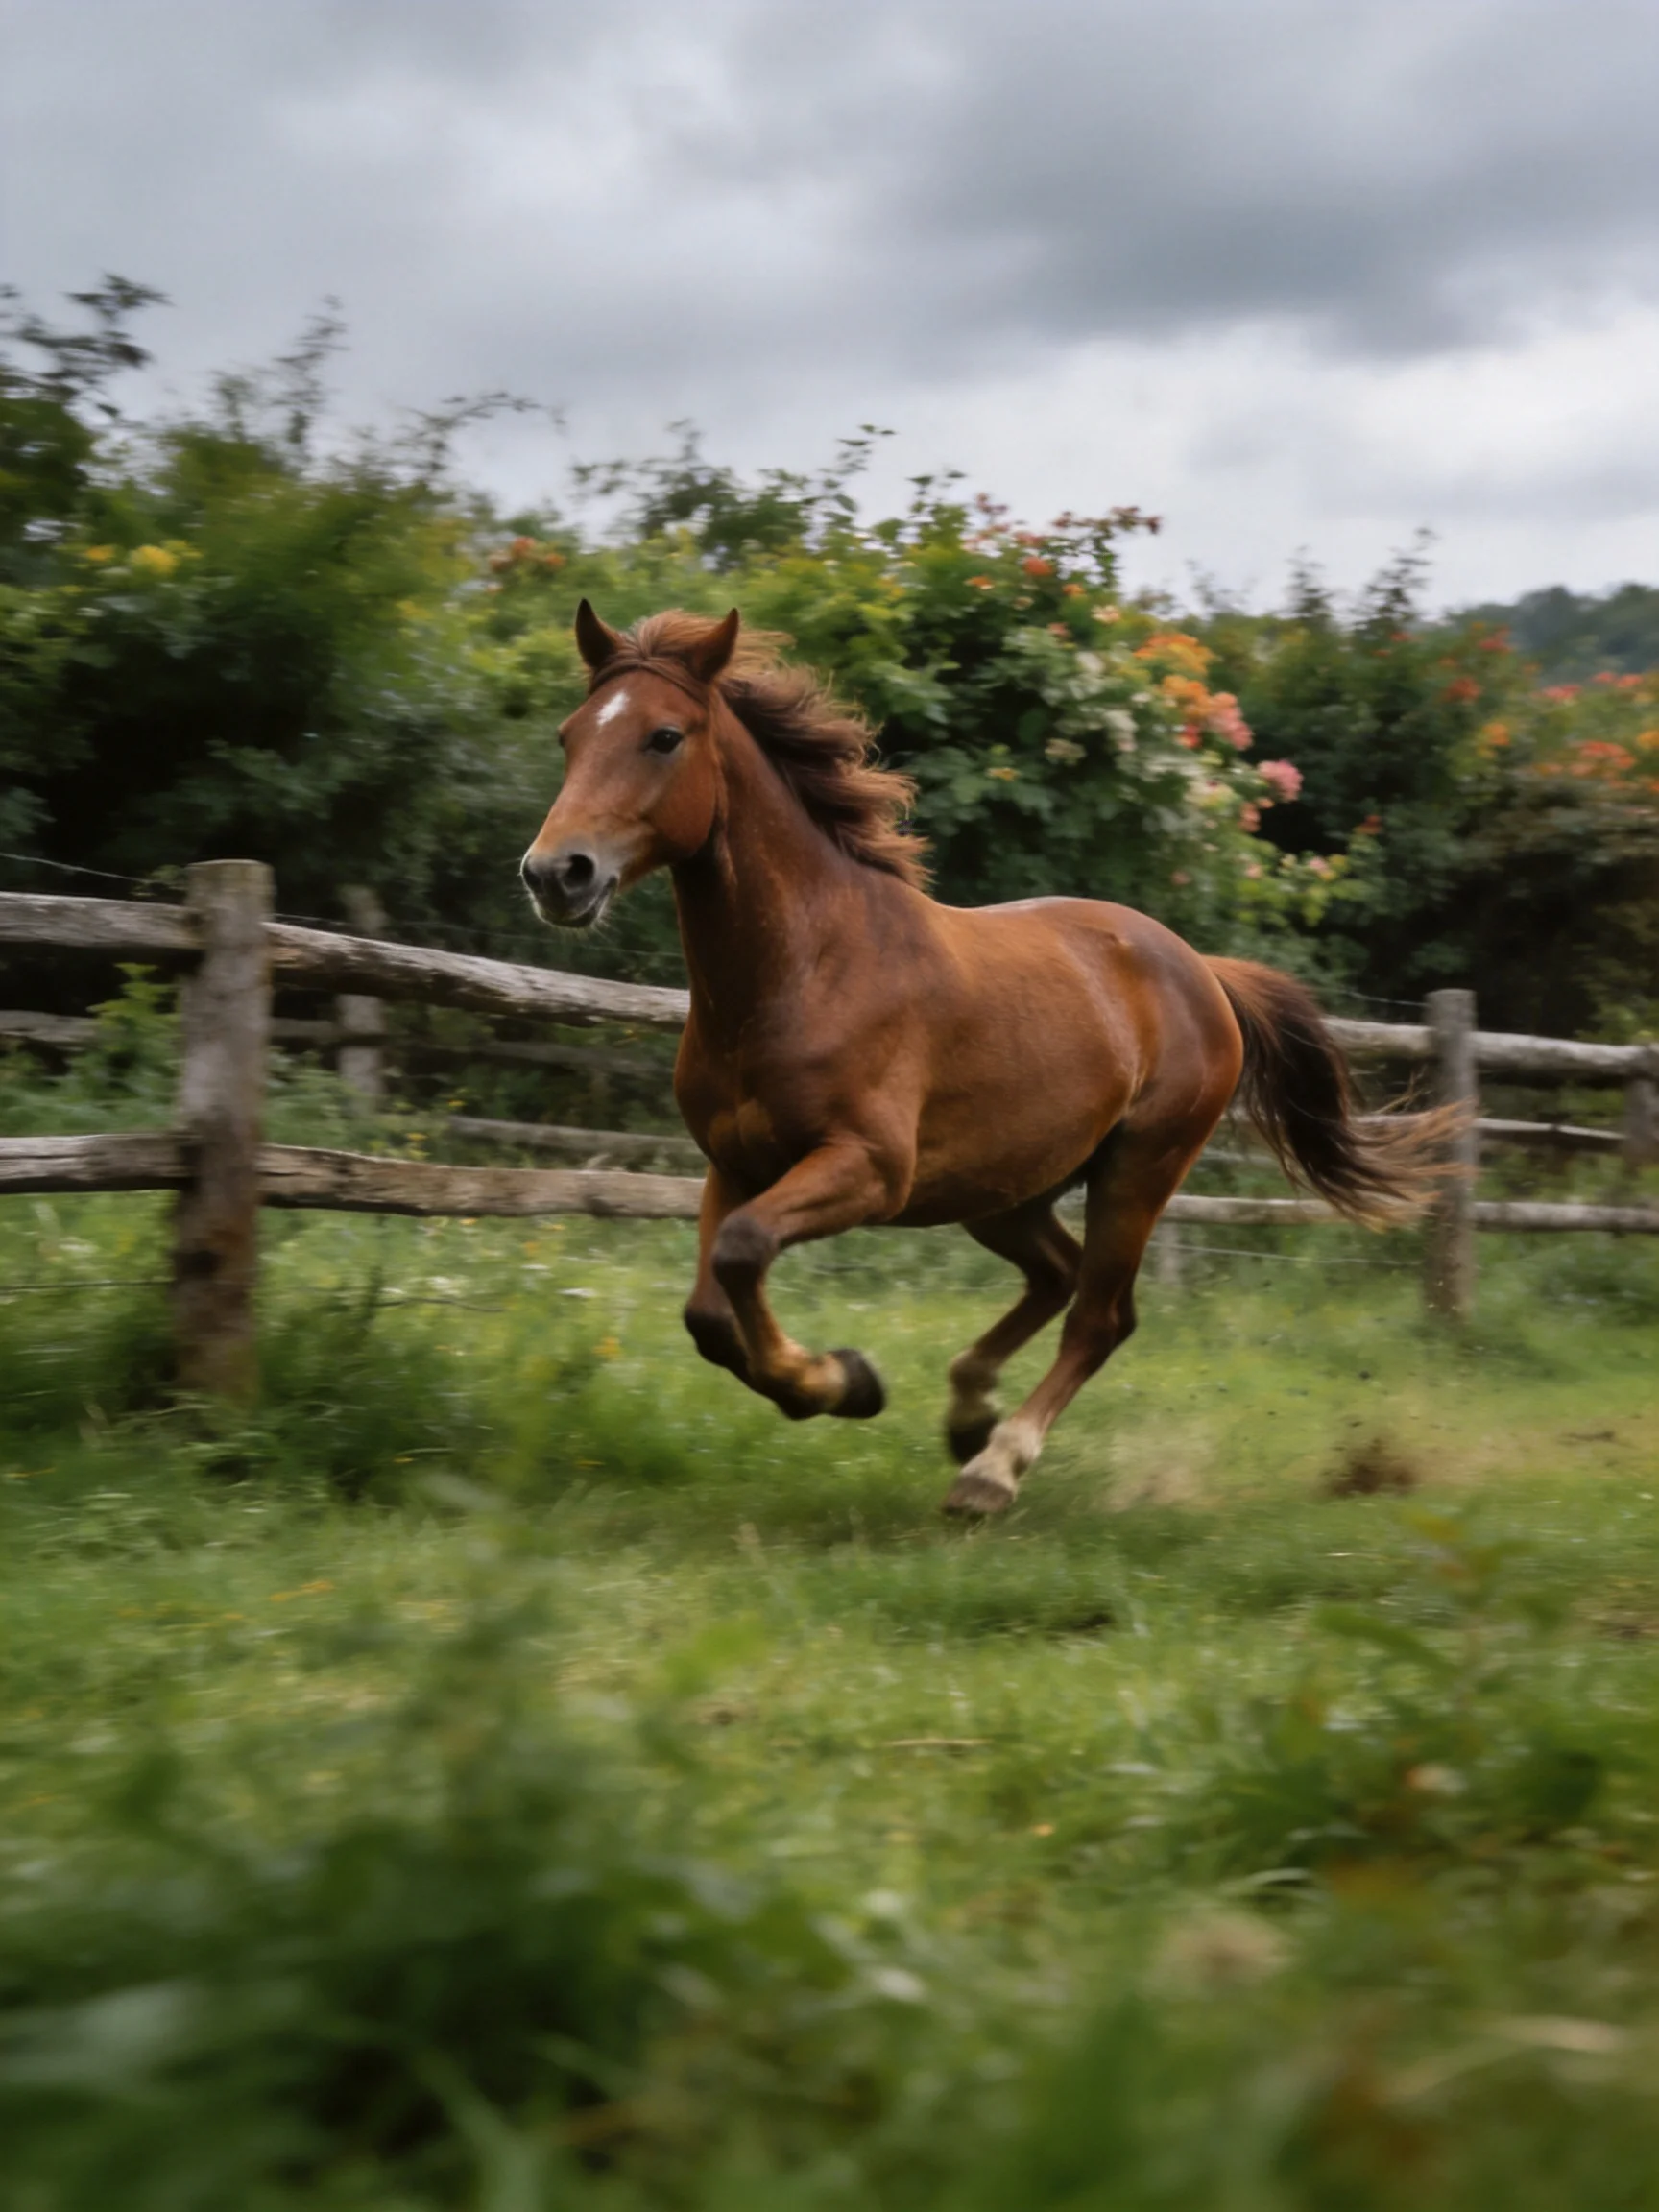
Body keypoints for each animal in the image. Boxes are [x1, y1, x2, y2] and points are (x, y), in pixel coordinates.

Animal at [521, 602, 1438, 1517]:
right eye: (568, 735)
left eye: (664, 737)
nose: (555, 874)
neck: (804, 970)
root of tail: (1204, 971)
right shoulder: (735, 1164)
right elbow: (710, 1315)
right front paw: (844, 1383)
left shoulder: (869, 1169)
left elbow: (743, 1252)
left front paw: (842, 1381)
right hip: (1004, 1187)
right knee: (1058, 1277)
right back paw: (969, 1414)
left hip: (1138, 1168)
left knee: (1100, 1316)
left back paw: (991, 1471)